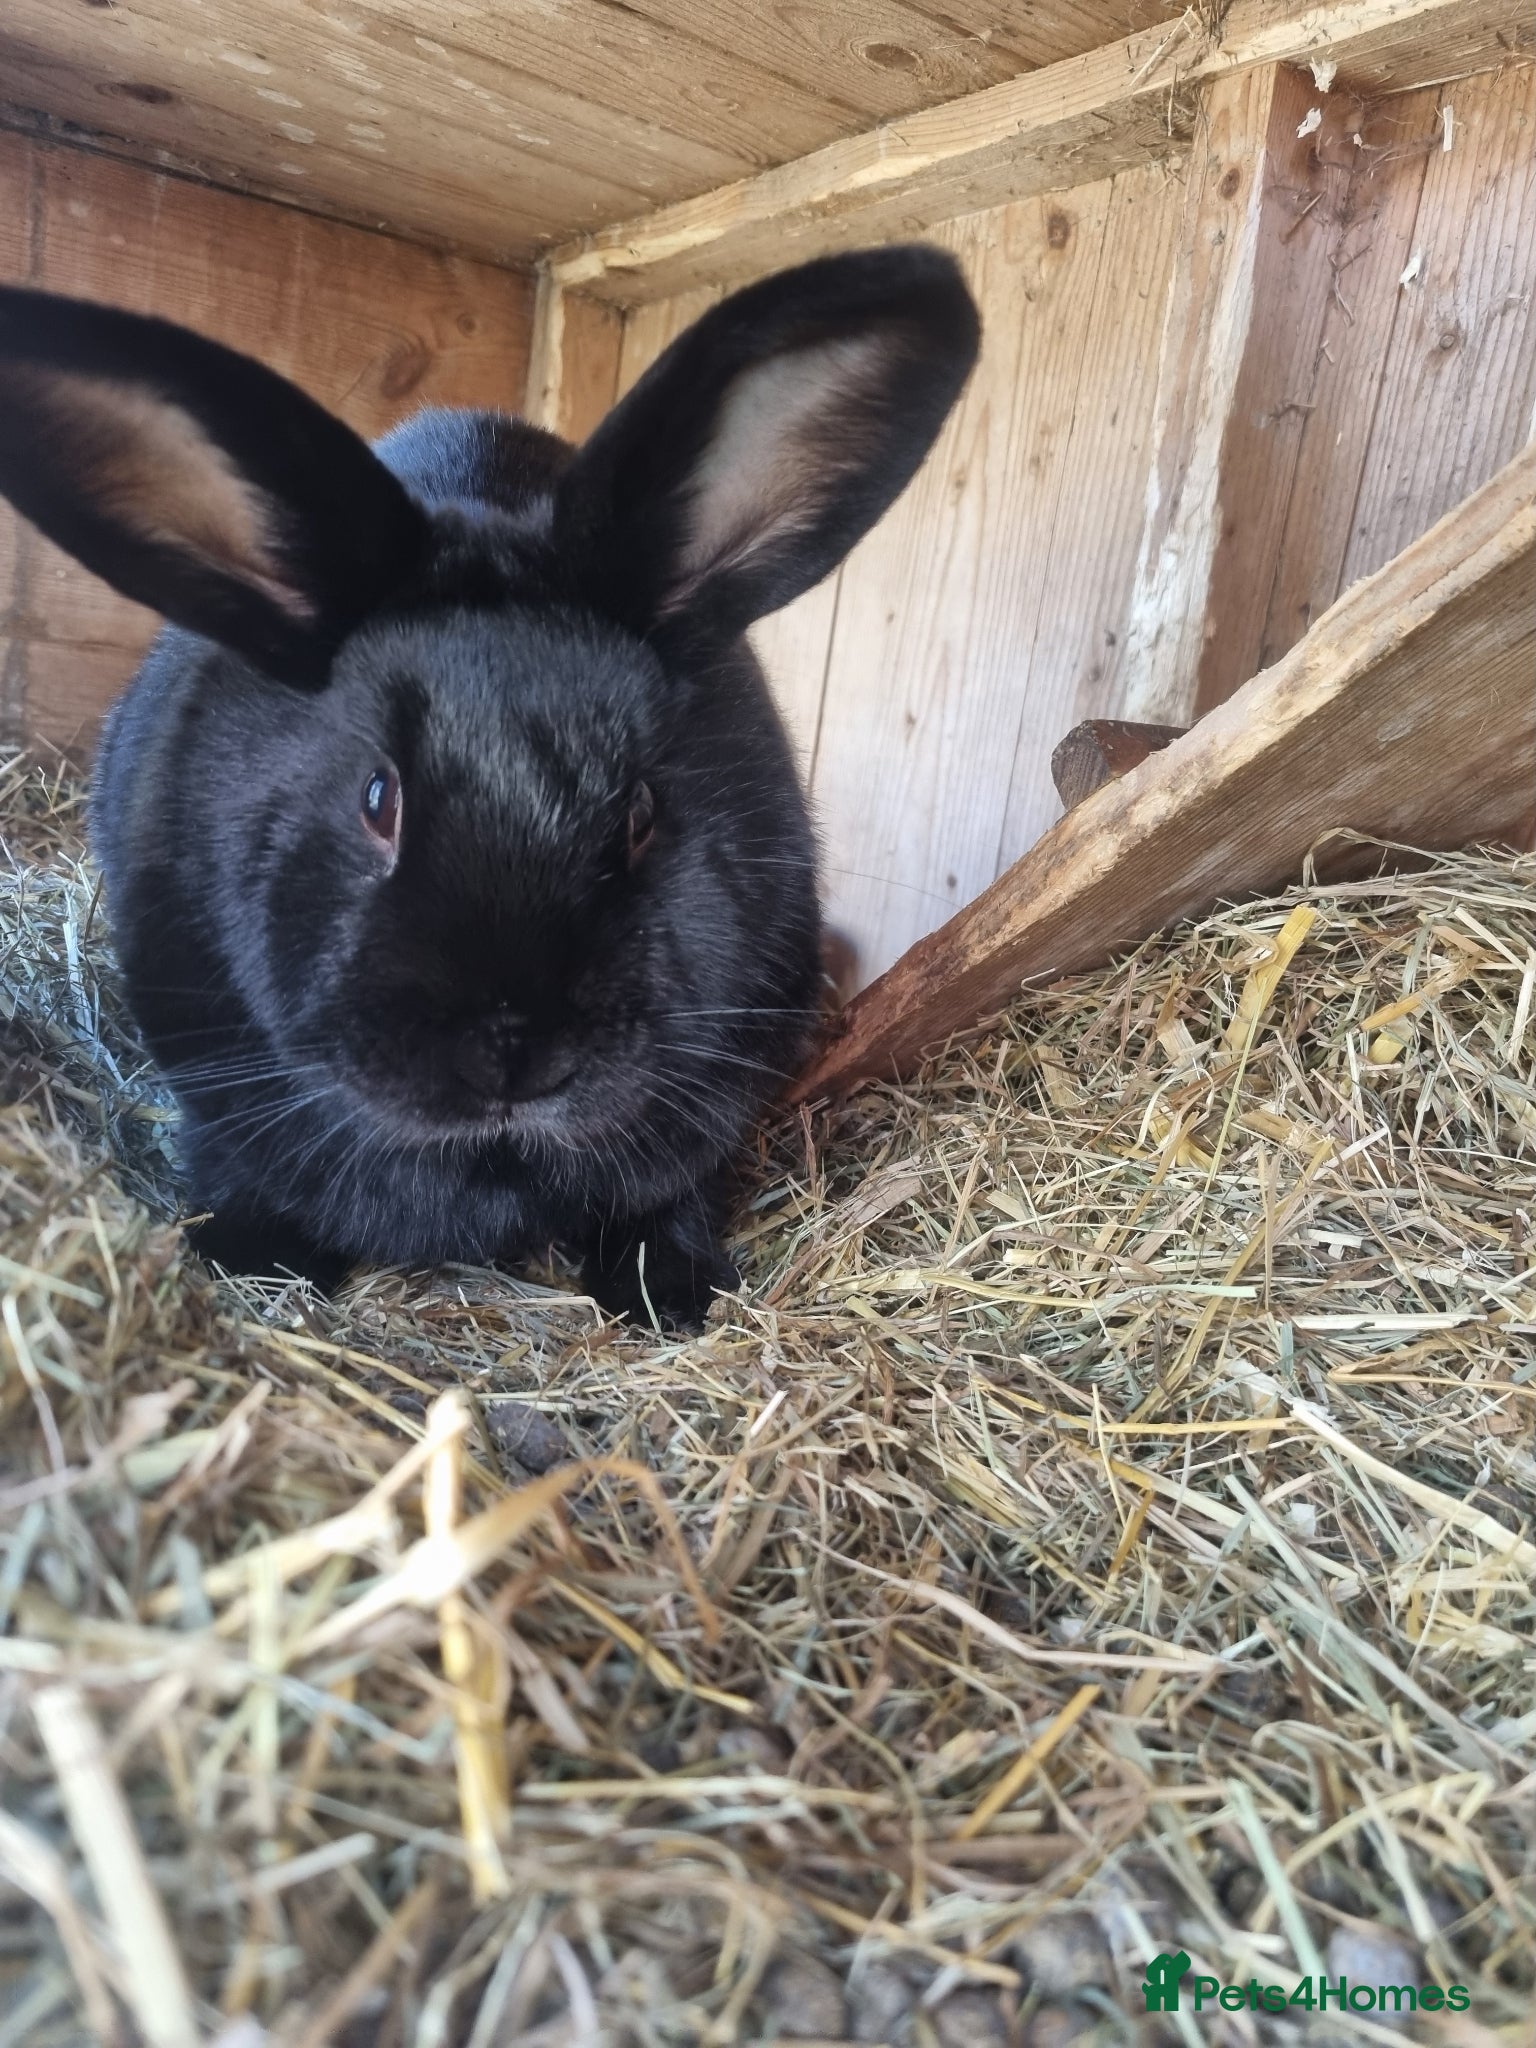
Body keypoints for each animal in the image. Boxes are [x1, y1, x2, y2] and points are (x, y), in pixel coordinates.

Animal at [0, 247, 979, 1324]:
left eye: (642, 812)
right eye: (376, 798)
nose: (517, 1053)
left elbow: (673, 1192)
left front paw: (669, 1291)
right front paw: (249, 1262)